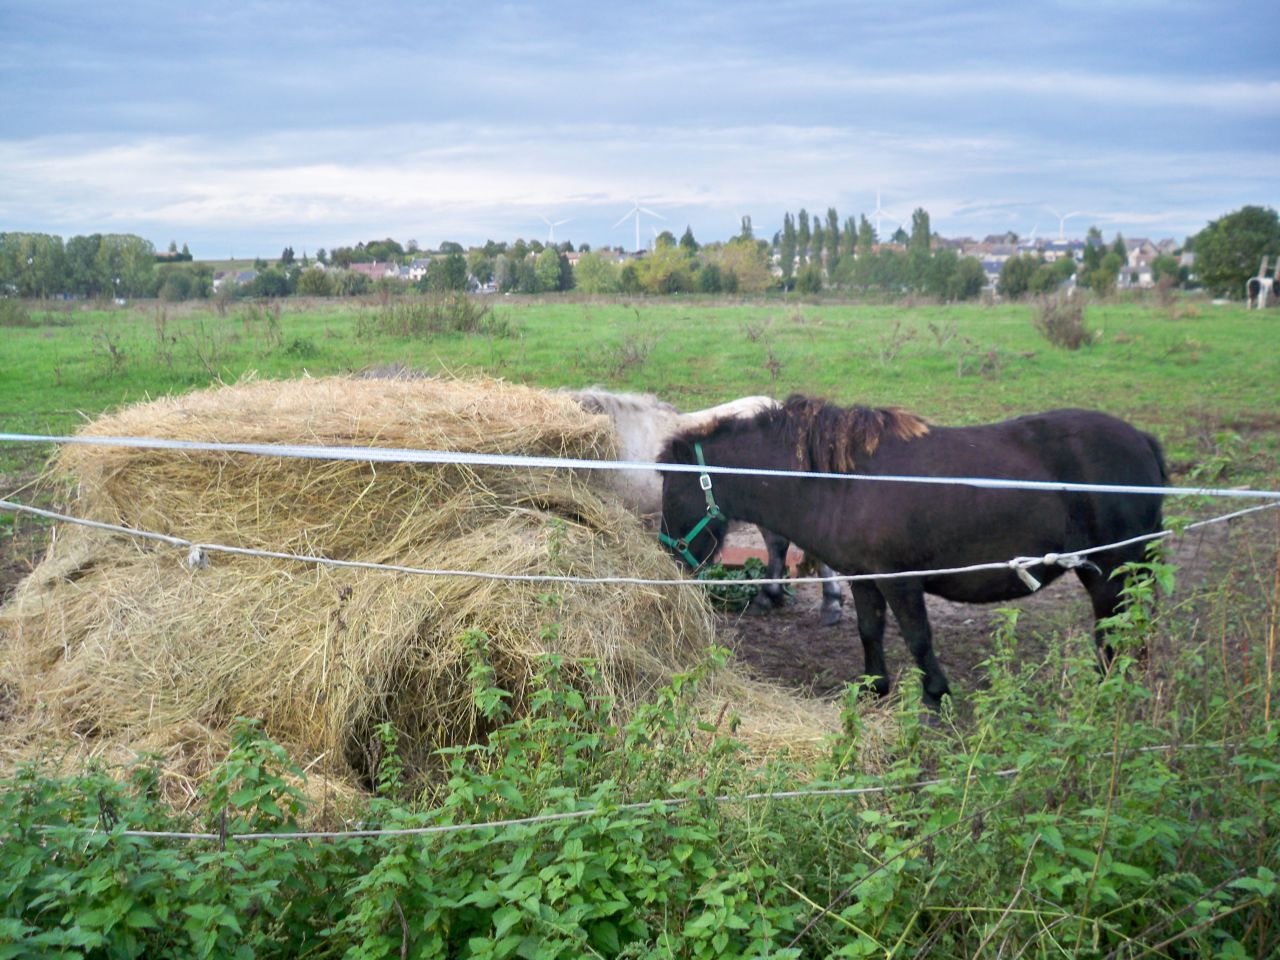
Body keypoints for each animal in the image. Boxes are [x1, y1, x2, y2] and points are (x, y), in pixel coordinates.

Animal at [659, 395, 1168, 708]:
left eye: (672, 490)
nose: (669, 557)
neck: (839, 485)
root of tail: (1143, 440)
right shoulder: (863, 578)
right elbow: (870, 632)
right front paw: (875, 689)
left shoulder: (899, 581)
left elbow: (918, 638)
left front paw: (935, 696)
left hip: (1113, 570)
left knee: (1116, 631)